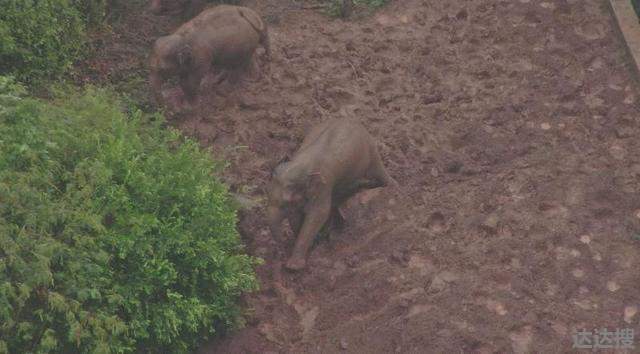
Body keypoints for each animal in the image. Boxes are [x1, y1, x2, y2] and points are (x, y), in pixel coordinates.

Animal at [266, 119, 396, 272]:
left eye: (285, 203)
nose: (281, 249)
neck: (301, 164)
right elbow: (297, 216)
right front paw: (313, 242)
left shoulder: (324, 184)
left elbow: (319, 214)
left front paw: (294, 267)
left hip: (371, 149)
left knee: (378, 171)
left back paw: (393, 186)